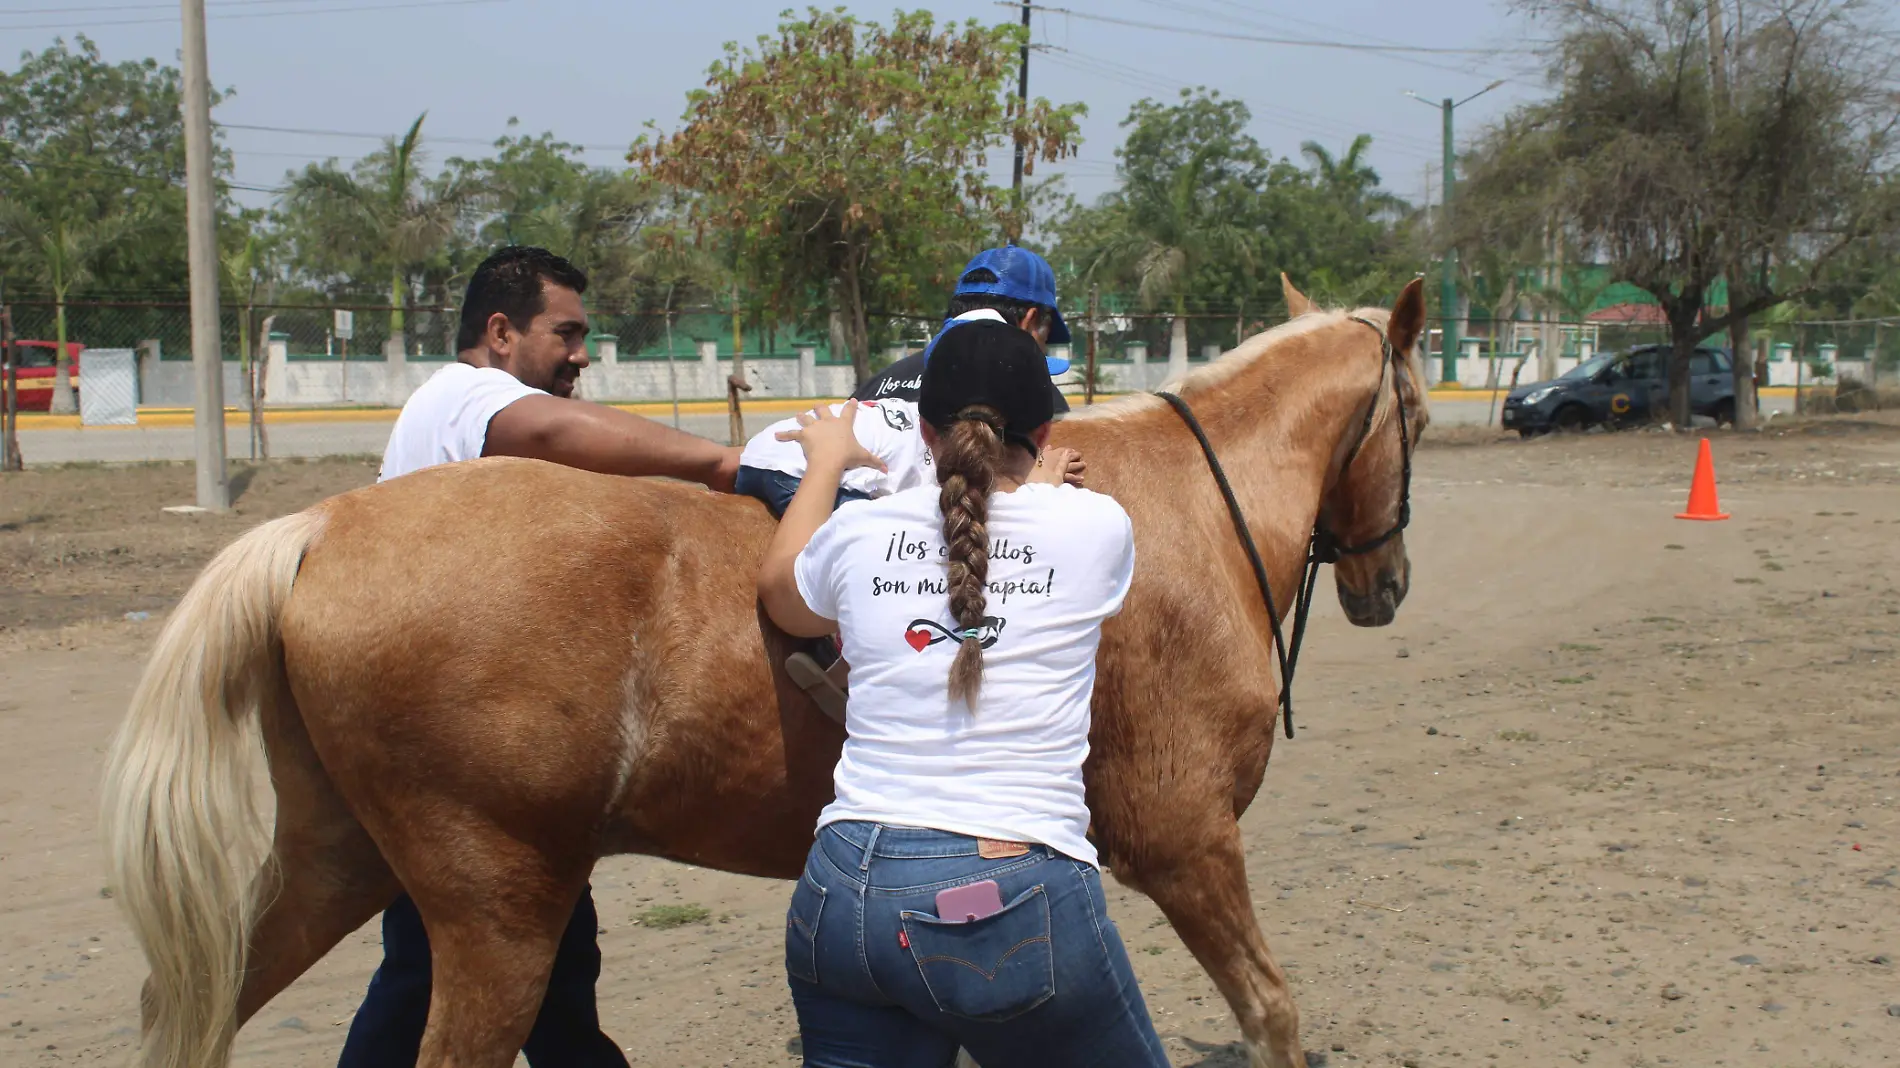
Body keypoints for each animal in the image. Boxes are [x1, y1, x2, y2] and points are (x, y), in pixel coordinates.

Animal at [96, 275, 1421, 1064]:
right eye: (1410, 411)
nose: (1386, 583)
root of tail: (322, 526)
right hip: (497, 913)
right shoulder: (1187, 843)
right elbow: (1272, 1011)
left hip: (340, 864)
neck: (1177, 511)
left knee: (190, 1001)